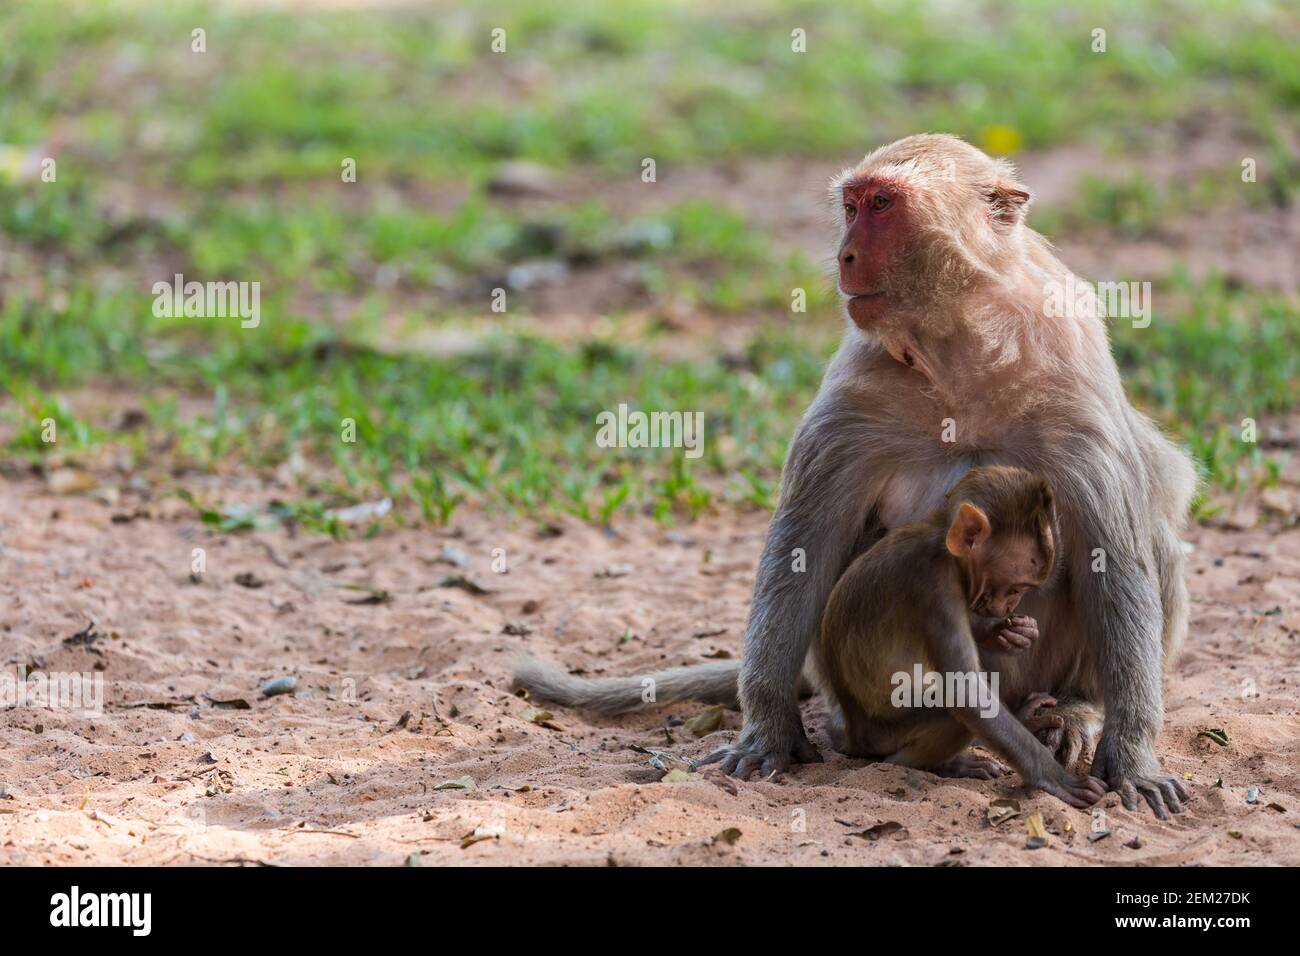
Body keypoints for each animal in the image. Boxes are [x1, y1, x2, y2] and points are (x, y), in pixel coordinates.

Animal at [816, 463, 1102, 806]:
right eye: (1017, 587)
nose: (1011, 604)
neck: (939, 543)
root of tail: (852, 733)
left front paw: (1006, 632)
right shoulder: (933, 586)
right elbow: (963, 691)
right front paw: (1054, 777)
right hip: (884, 735)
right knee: (948, 717)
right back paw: (930, 764)